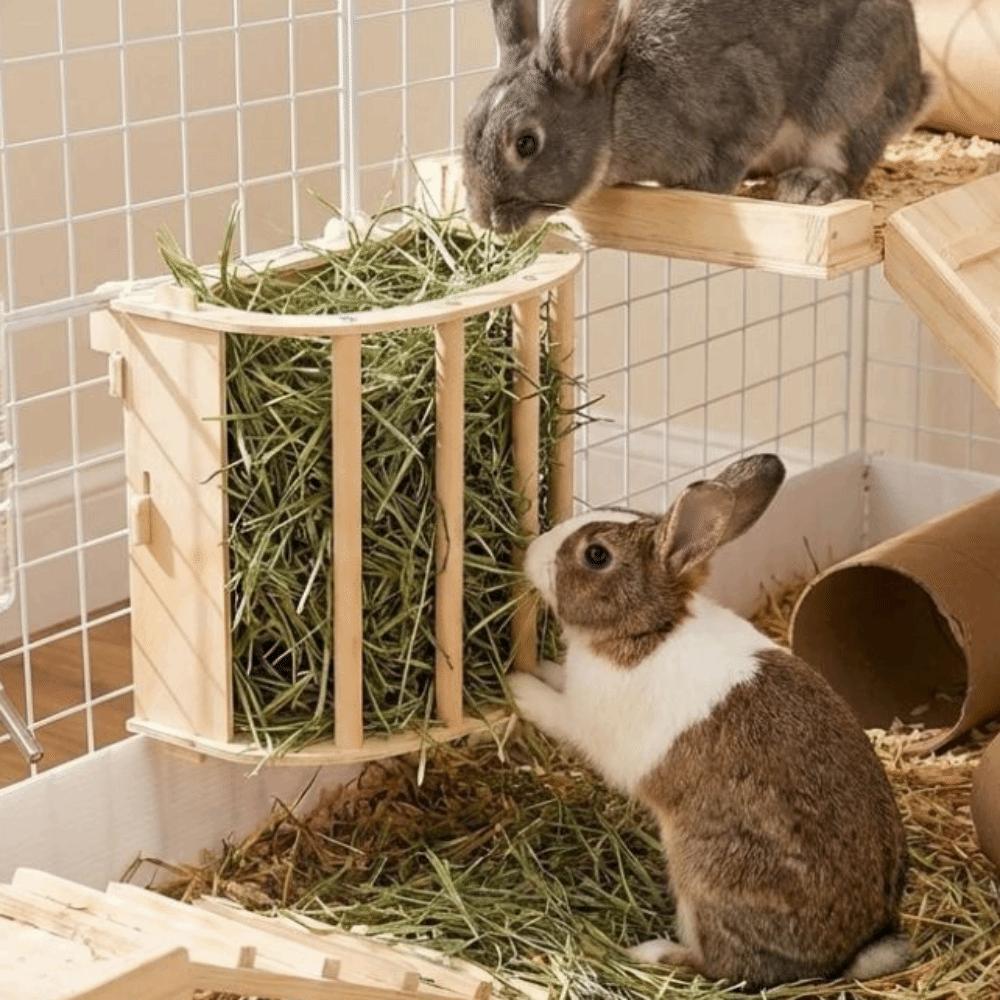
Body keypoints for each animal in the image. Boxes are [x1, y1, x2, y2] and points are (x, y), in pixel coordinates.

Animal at [463, 0, 933, 231]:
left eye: (526, 143)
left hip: (848, 101)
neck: (615, 108)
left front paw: (696, 189)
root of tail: (913, 86)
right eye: (467, 128)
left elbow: (726, 159)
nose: (484, 217)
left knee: (849, 160)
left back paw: (809, 185)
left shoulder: (746, 96)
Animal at [509, 454, 910, 989]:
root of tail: (846, 956)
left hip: (702, 875)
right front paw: (536, 669)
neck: (647, 628)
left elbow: (553, 710)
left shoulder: (586, 723)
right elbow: (557, 678)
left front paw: (515, 685)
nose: (531, 550)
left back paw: (656, 953)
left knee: (725, 967)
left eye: (596, 555)